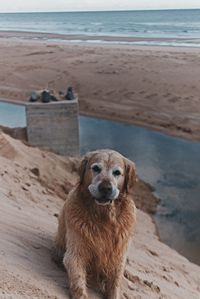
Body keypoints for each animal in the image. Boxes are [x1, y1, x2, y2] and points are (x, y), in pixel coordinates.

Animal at [54, 150, 137, 299]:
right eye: (96, 168)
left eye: (117, 172)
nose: (105, 188)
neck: (104, 217)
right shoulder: (75, 254)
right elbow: (78, 282)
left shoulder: (118, 259)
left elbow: (115, 285)